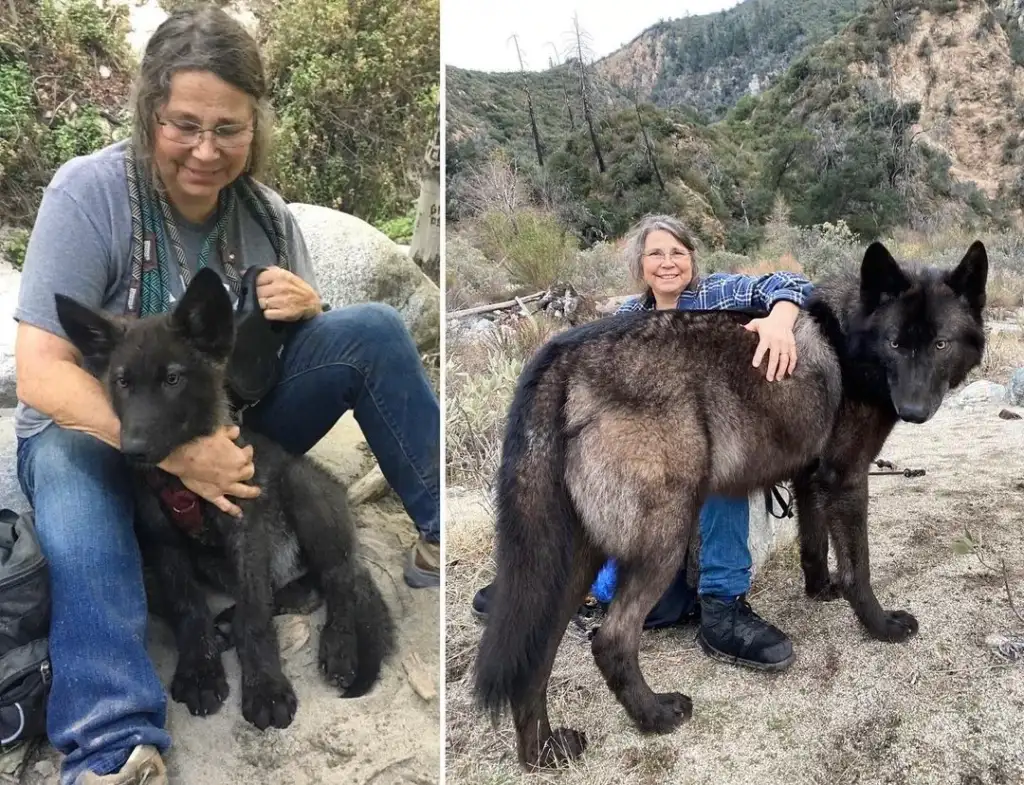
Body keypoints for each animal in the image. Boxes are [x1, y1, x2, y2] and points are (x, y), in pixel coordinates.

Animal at [51, 268, 397, 728]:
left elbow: (256, 614)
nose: (133, 450)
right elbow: (188, 606)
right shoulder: (165, 544)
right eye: (122, 382)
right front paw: (200, 670)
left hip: (304, 491)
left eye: (173, 379)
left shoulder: (246, 534)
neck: (184, 484)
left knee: (339, 579)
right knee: (300, 588)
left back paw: (338, 645)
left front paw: (266, 686)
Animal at [475, 241, 987, 769]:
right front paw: (881, 626)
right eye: (895, 344)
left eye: (940, 345)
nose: (914, 411)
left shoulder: (809, 479)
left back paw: (543, 752)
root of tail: (562, 359)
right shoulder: (846, 478)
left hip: (578, 558)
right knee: (611, 640)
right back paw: (654, 716)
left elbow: (813, 544)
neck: (849, 337)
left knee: (537, 653)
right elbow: (858, 570)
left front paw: (820, 590)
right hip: (663, 541)